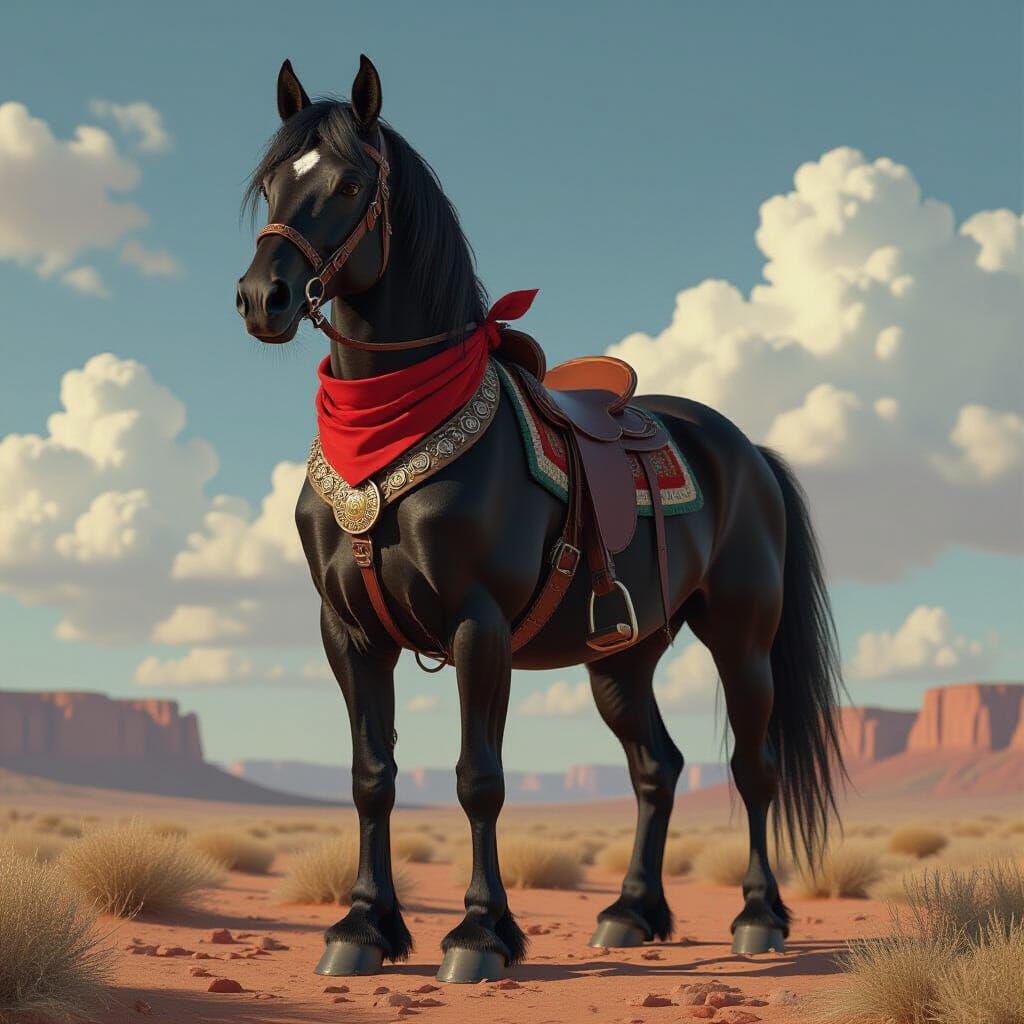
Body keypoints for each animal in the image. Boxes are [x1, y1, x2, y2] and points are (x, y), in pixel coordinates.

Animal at [235, 55, 845, 984]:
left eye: (348, 183)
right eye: (272, 182)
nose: (260, 297)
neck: (385, 439)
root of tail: (747, 451)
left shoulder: (477, 626)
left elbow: (478, 778)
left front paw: (480, 934)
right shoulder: (349, 632)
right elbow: (372, 775)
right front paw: (363, 926)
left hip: (741, 639)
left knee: (754, 767)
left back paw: (759, 917)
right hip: (623, 658)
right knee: (656, 767)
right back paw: (631, 912)